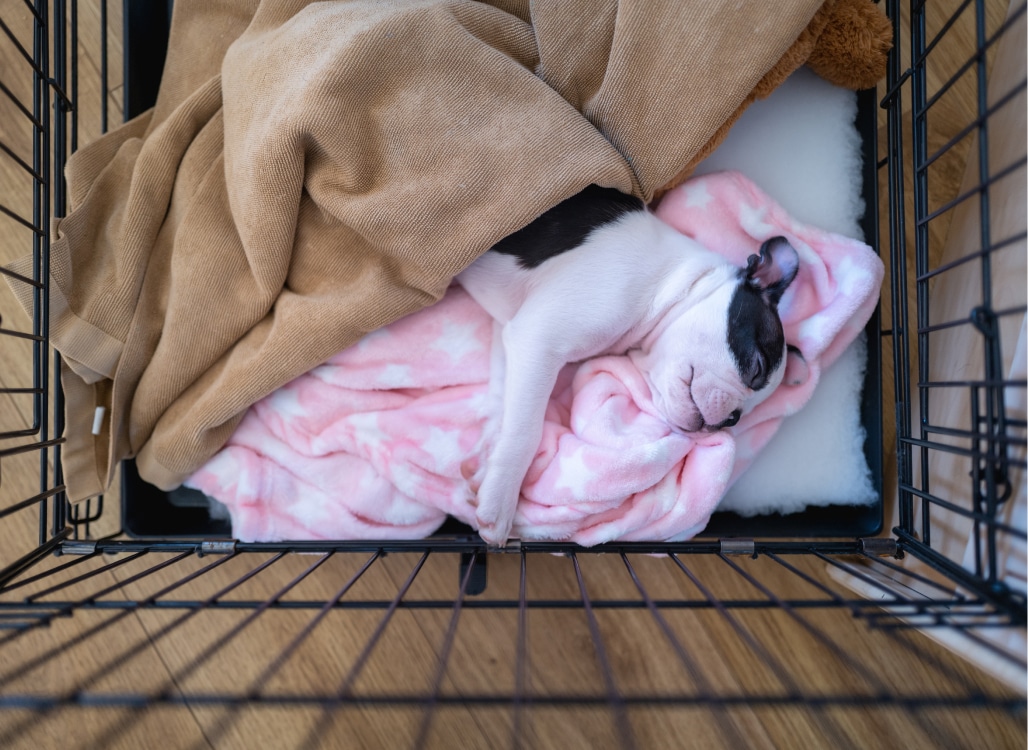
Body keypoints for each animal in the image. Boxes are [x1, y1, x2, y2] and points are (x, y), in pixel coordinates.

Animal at [458, 182, 801, 542]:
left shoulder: (511, 334)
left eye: (743, 416)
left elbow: (503, 406)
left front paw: (485, 468)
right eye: (757, 368)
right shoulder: (539, 339)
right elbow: (525, 432)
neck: (669, 283)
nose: (732, 418)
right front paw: (500, 500)